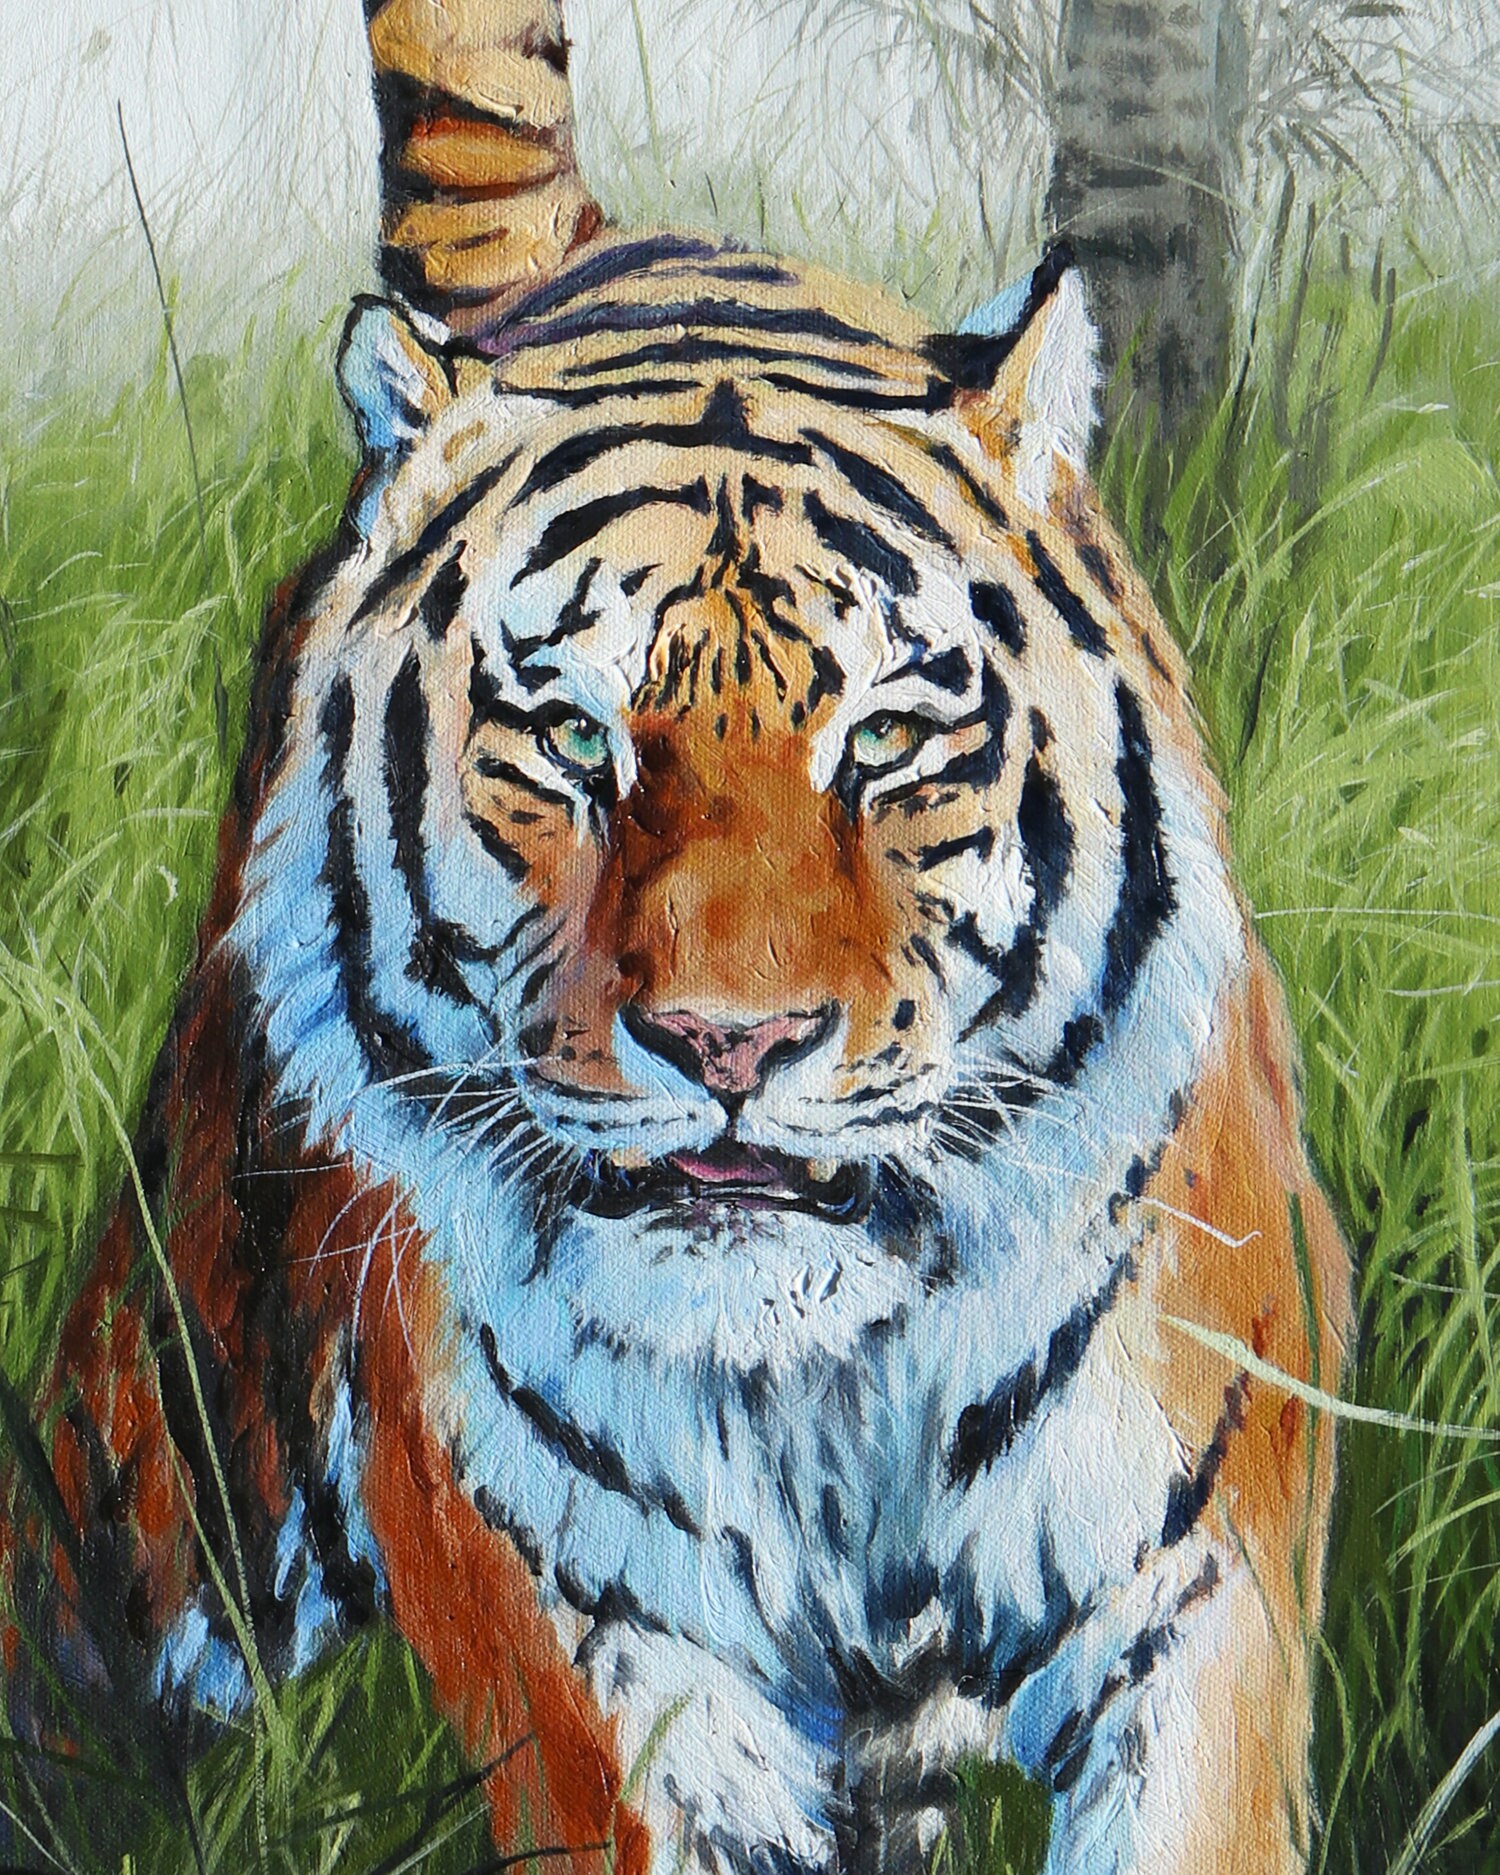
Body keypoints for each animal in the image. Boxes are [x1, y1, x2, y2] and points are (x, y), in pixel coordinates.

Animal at [2, 2, 1352, 1872]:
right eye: (573, 739)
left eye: (885, 737)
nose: (731, 1042)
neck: (824, 1386)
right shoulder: (590, 1637)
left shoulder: (1197, 1580)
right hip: (175, 1418)